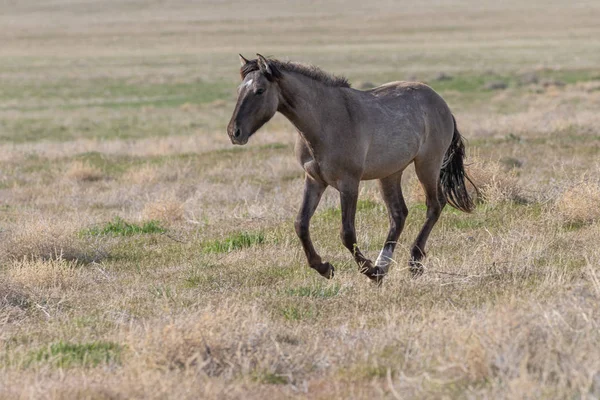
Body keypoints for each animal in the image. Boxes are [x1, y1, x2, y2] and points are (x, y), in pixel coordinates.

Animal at [227, 54, 476, 282]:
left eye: (260, 90)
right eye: (239, 89)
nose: (234, 132)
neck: (325, 122)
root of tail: (440, 102)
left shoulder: (349, 184)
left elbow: (346, 233)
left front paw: (368, 271)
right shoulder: (314, 180)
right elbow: (301, 224)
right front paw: (325, 267)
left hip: (427, 165)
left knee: (434, 205)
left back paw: (412, 263)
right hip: (390, 173)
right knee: (398, 214)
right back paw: (383, 265)